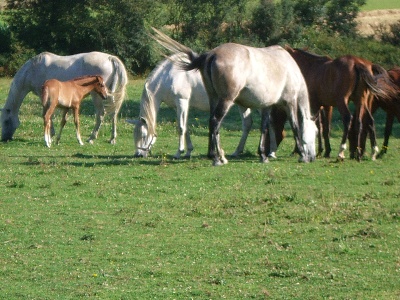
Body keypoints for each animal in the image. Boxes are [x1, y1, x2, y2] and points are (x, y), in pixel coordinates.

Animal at [152, 27, 318, 166]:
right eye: (316, 132)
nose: (313, 157)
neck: (289, 68)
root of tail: (212, 54)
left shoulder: (266, 106)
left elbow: (264, 127)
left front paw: (263, 155)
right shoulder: (290, 102)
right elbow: (296, 126)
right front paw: (302, 155)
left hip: (214, 98)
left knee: (212, 123)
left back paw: (216, 156)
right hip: (226, 100)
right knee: (215, 121)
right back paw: (216, 158)